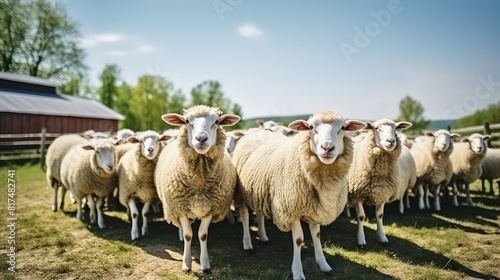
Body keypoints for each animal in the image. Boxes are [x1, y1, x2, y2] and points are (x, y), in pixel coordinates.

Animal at [156, 105, 242, 274]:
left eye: (217, 121)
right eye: (187, 121)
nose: (201, 139)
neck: (199, 181)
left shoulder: (210, 208)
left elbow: (202, 235)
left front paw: (205, 264)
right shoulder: (180, 208)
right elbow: (188, 235)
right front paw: (186, 264)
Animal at [232, 110, 366, 278]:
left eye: (342, 127)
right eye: (311, 127)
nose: (327, 147)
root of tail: (255, 132)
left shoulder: (316, 208)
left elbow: (317, 236)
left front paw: (323, 264)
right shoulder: (290, 208)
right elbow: (298, 239)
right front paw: (297, 271)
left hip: (259, 190)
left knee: (260, 213)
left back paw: (263, 236)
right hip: (242, 191)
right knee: (244, 216)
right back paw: (247, 243)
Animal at [346, 117, 412, 247]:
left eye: (395, 129)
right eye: (376, 128)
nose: (391, 141)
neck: (379, 174)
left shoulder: (382, 192)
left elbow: (380, 215)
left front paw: (382, 237)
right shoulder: (357, 194)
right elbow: (361, 216)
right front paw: (361, 240)